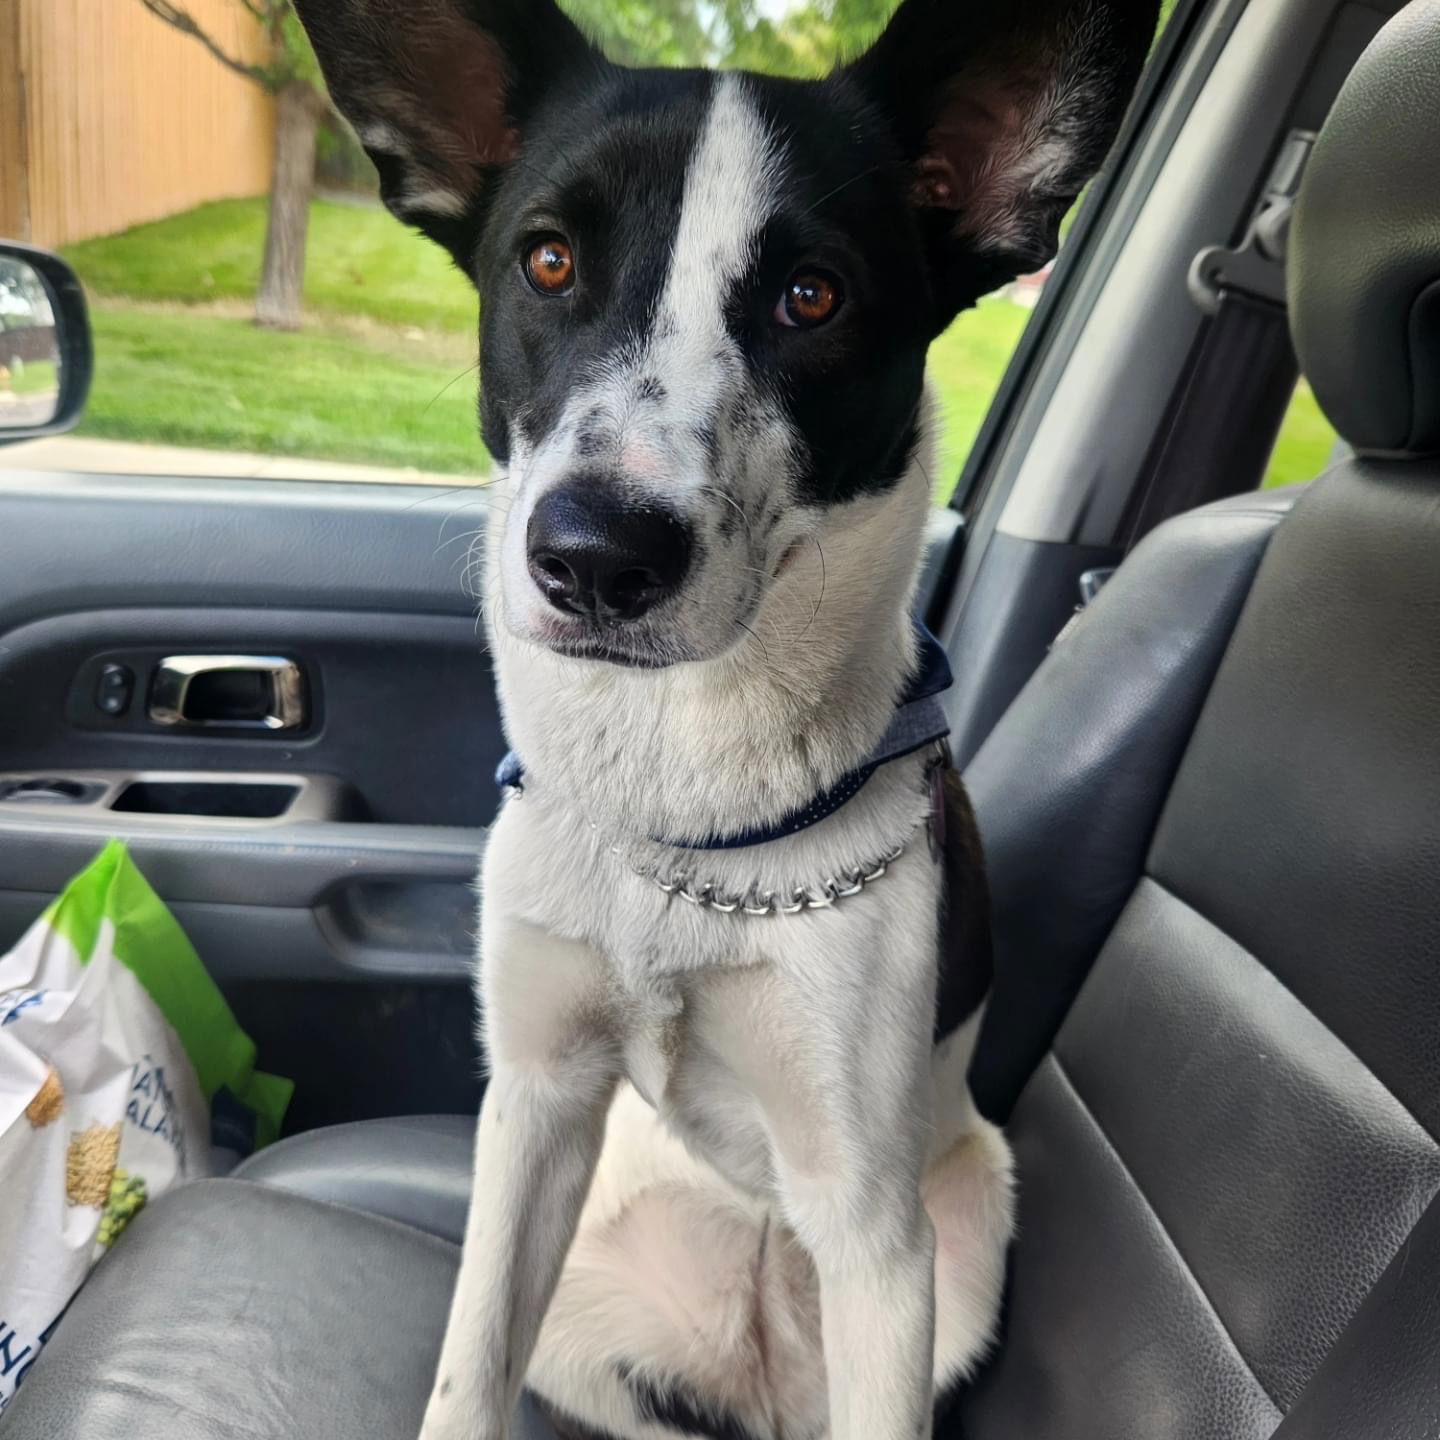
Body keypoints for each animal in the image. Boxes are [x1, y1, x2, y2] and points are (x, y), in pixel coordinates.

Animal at [295, 5, 1157, 1434]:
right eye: (546, 260)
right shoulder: (536, 1110)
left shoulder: (875, 1237)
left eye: (814, 295)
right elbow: (466, 1378)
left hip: (966, 1231)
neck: (680, 811)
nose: (596, 559)